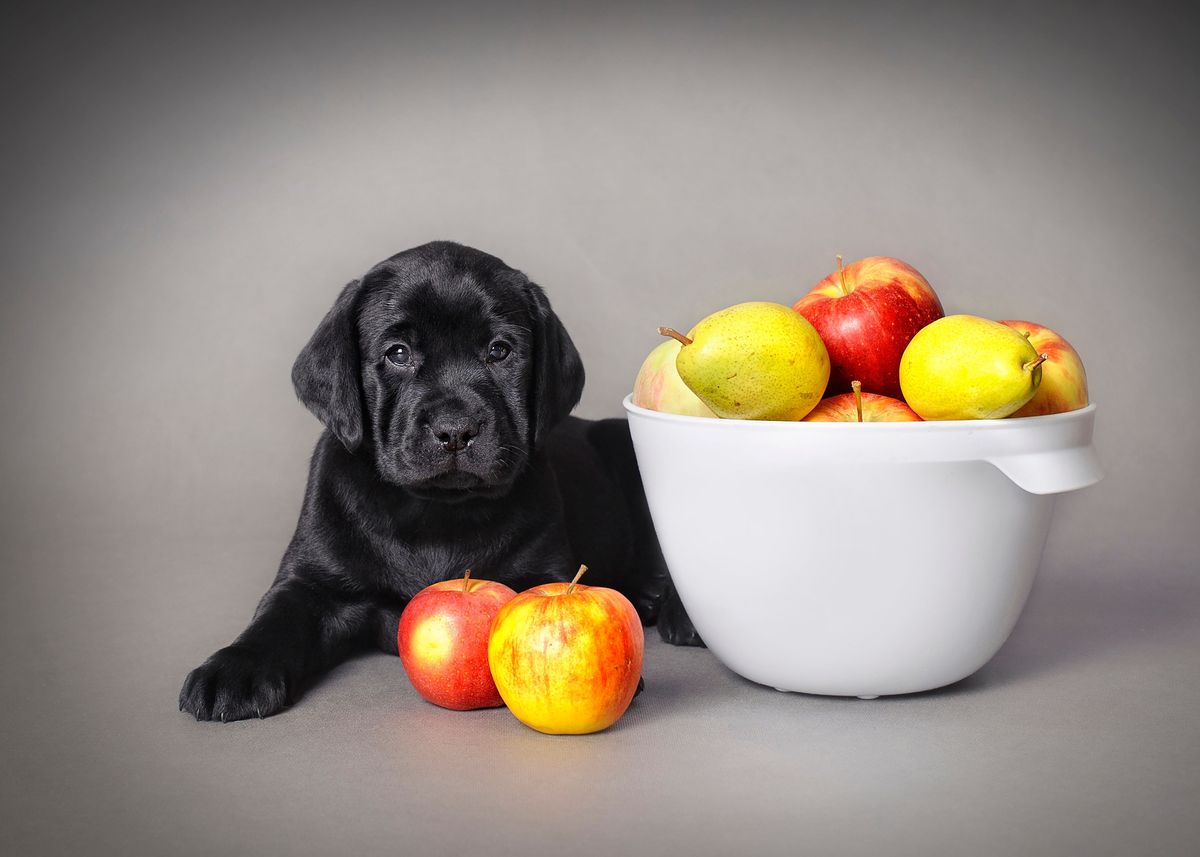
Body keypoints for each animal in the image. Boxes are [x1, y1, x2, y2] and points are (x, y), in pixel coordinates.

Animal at [181, 240, 700, 720]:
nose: (456, 429)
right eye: (398, 353)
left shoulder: (544, 570)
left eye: (499, 351)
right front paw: (235, 668)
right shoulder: (311, 580)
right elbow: (276, 617)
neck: (433, 510)